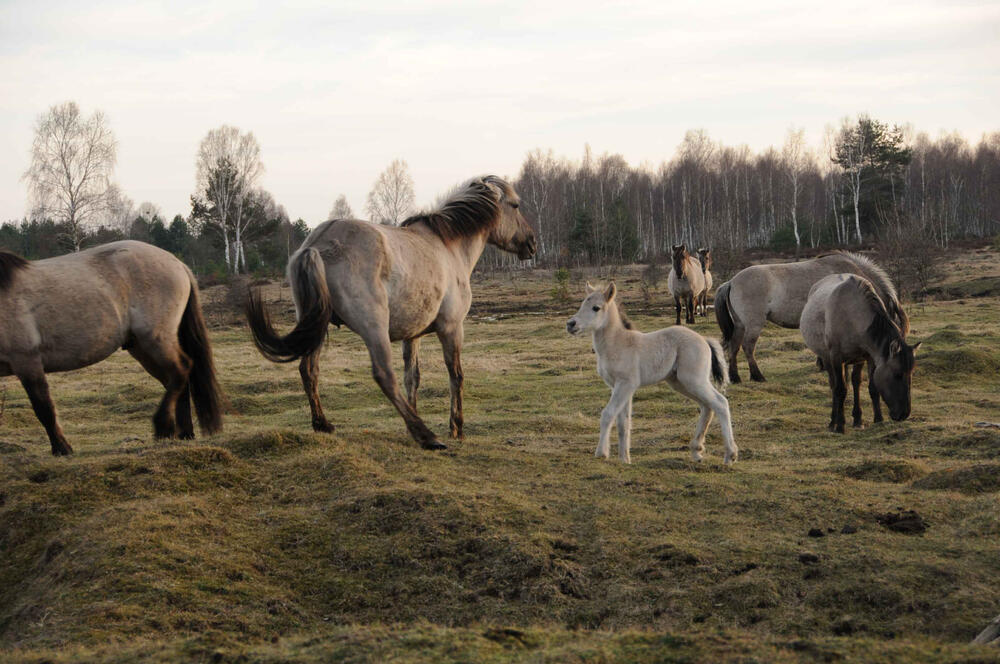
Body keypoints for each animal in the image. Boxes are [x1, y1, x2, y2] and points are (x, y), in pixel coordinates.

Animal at [0, 241, 223, 455]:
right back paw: (184, 433)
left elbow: (43, 409)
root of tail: (177, 263)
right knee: (176, 379)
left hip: (155, 339)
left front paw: (62, 449)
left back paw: (163, 426)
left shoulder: (27, 361)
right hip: (141, 348)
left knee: (181, 369)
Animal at [246, 175, 536, 450]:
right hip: (373, 328)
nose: (532, 243)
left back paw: (323, 424)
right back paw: (427, 437)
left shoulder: (413, 335)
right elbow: (456, 375)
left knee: (308, 369)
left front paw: (414, 416)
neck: (448, 246)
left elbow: (413, 377)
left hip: (317, 325)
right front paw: (456, 427)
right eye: (515, 205)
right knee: (384, 375)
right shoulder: (452, 328)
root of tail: (317, 245)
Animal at [566, 282, 737, 465]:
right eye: (582, 304)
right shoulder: (619, 387)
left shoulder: (626, 384)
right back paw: (697, 451)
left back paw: (730, 455)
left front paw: (602, 453)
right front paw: (625, 460)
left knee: (720, 403)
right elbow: (623, 423)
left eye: (596, 308)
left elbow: (608, 414)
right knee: (707, 406)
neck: (618, 344)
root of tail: (704, 340)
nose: (571, 324)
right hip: (680, 383)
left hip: (694, 380)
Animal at [714, 251, 909, 383]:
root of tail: (731, 282)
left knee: (734, 347)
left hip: (740, 325)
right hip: (754, 324)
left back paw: (735, 377)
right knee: (748, 347)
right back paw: (757, 376)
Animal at [800, 274, 919, 433]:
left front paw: (878, 419)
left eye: (911, 374)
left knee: (855, 383)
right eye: (897, 374)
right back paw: (833, 422)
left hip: (855, 360)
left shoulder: (868, 358)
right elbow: (840, 390)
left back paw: (857, 419)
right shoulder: (836, 358)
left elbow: (872, 387)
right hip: (827, 359)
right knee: (834, 385)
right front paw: (840, 426)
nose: (904, 414)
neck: (853, 315)